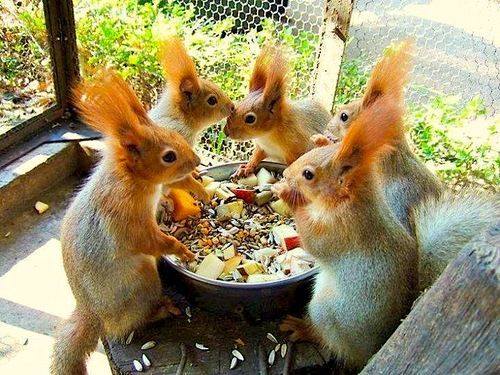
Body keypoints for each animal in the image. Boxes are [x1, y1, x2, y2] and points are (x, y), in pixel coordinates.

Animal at [50, 71, 197, 375]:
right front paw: (182, 250)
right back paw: (162, 310)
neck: (131, 178)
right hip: (143, 283)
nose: (197, 161)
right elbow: (150, 240)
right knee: (132, 323)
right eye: (168, 156)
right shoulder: (127, 217)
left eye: (175, 134)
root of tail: (93, 314)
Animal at [224, 46, 332, 178]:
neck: (267, 135)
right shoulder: (263, 148)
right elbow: (256, 157)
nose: (226, 132)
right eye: (237, 105)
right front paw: (246, 168)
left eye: (250, 118)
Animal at [276, 86, 498, 370]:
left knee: (330, 341)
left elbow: (315, 242)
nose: (285, 175)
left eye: (308, 174)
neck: (354, 201)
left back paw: (303, 328)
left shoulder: (344, 230)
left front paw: (288, 196)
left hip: (327, 313)